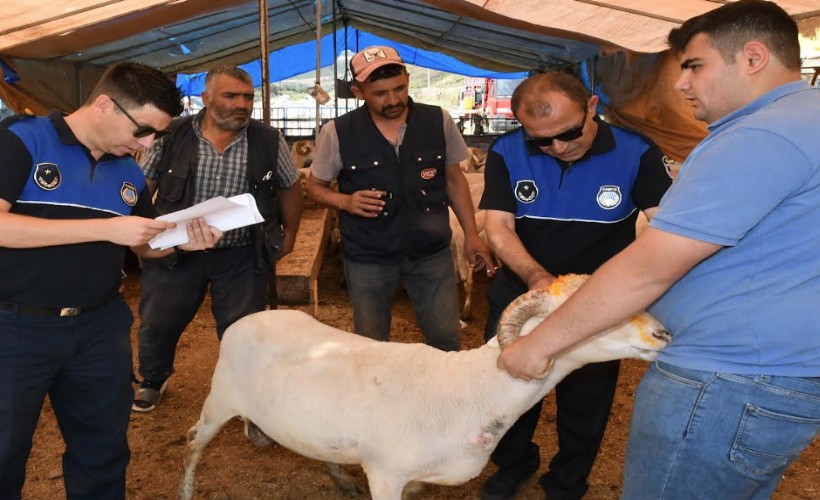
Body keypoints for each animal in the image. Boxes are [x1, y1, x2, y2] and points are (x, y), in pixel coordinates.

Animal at [181, 274, 672, 500]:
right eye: (594, 314)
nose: (663, 335)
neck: (474, 389)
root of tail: (248, 317)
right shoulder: (386, 474)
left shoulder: (415, 480)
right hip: (219, 399)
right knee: (193, 444)